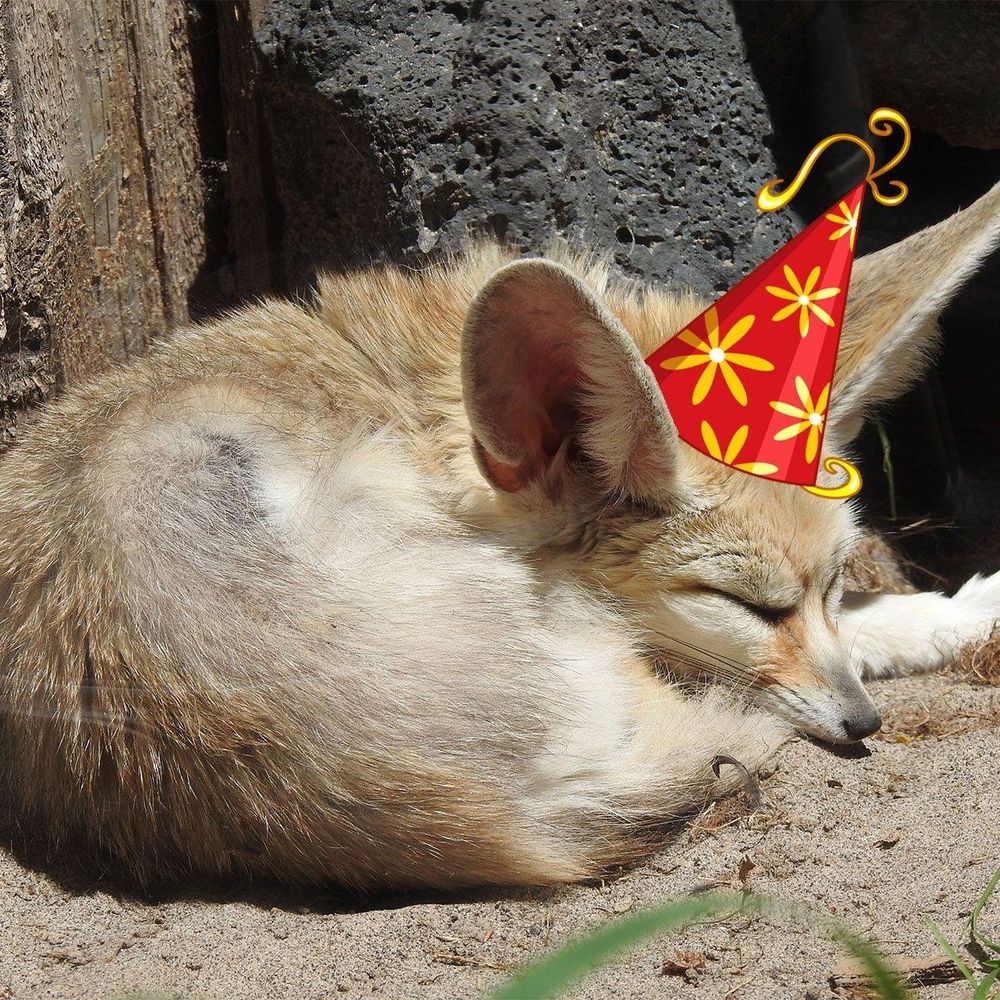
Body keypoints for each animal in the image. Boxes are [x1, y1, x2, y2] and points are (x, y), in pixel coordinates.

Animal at [1, 182, 1000, 892]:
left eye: (828, 581)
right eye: (744, 604)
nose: (866, 726)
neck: (419, 396)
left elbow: (858, 627)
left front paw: (946, 613)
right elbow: (806, 655)